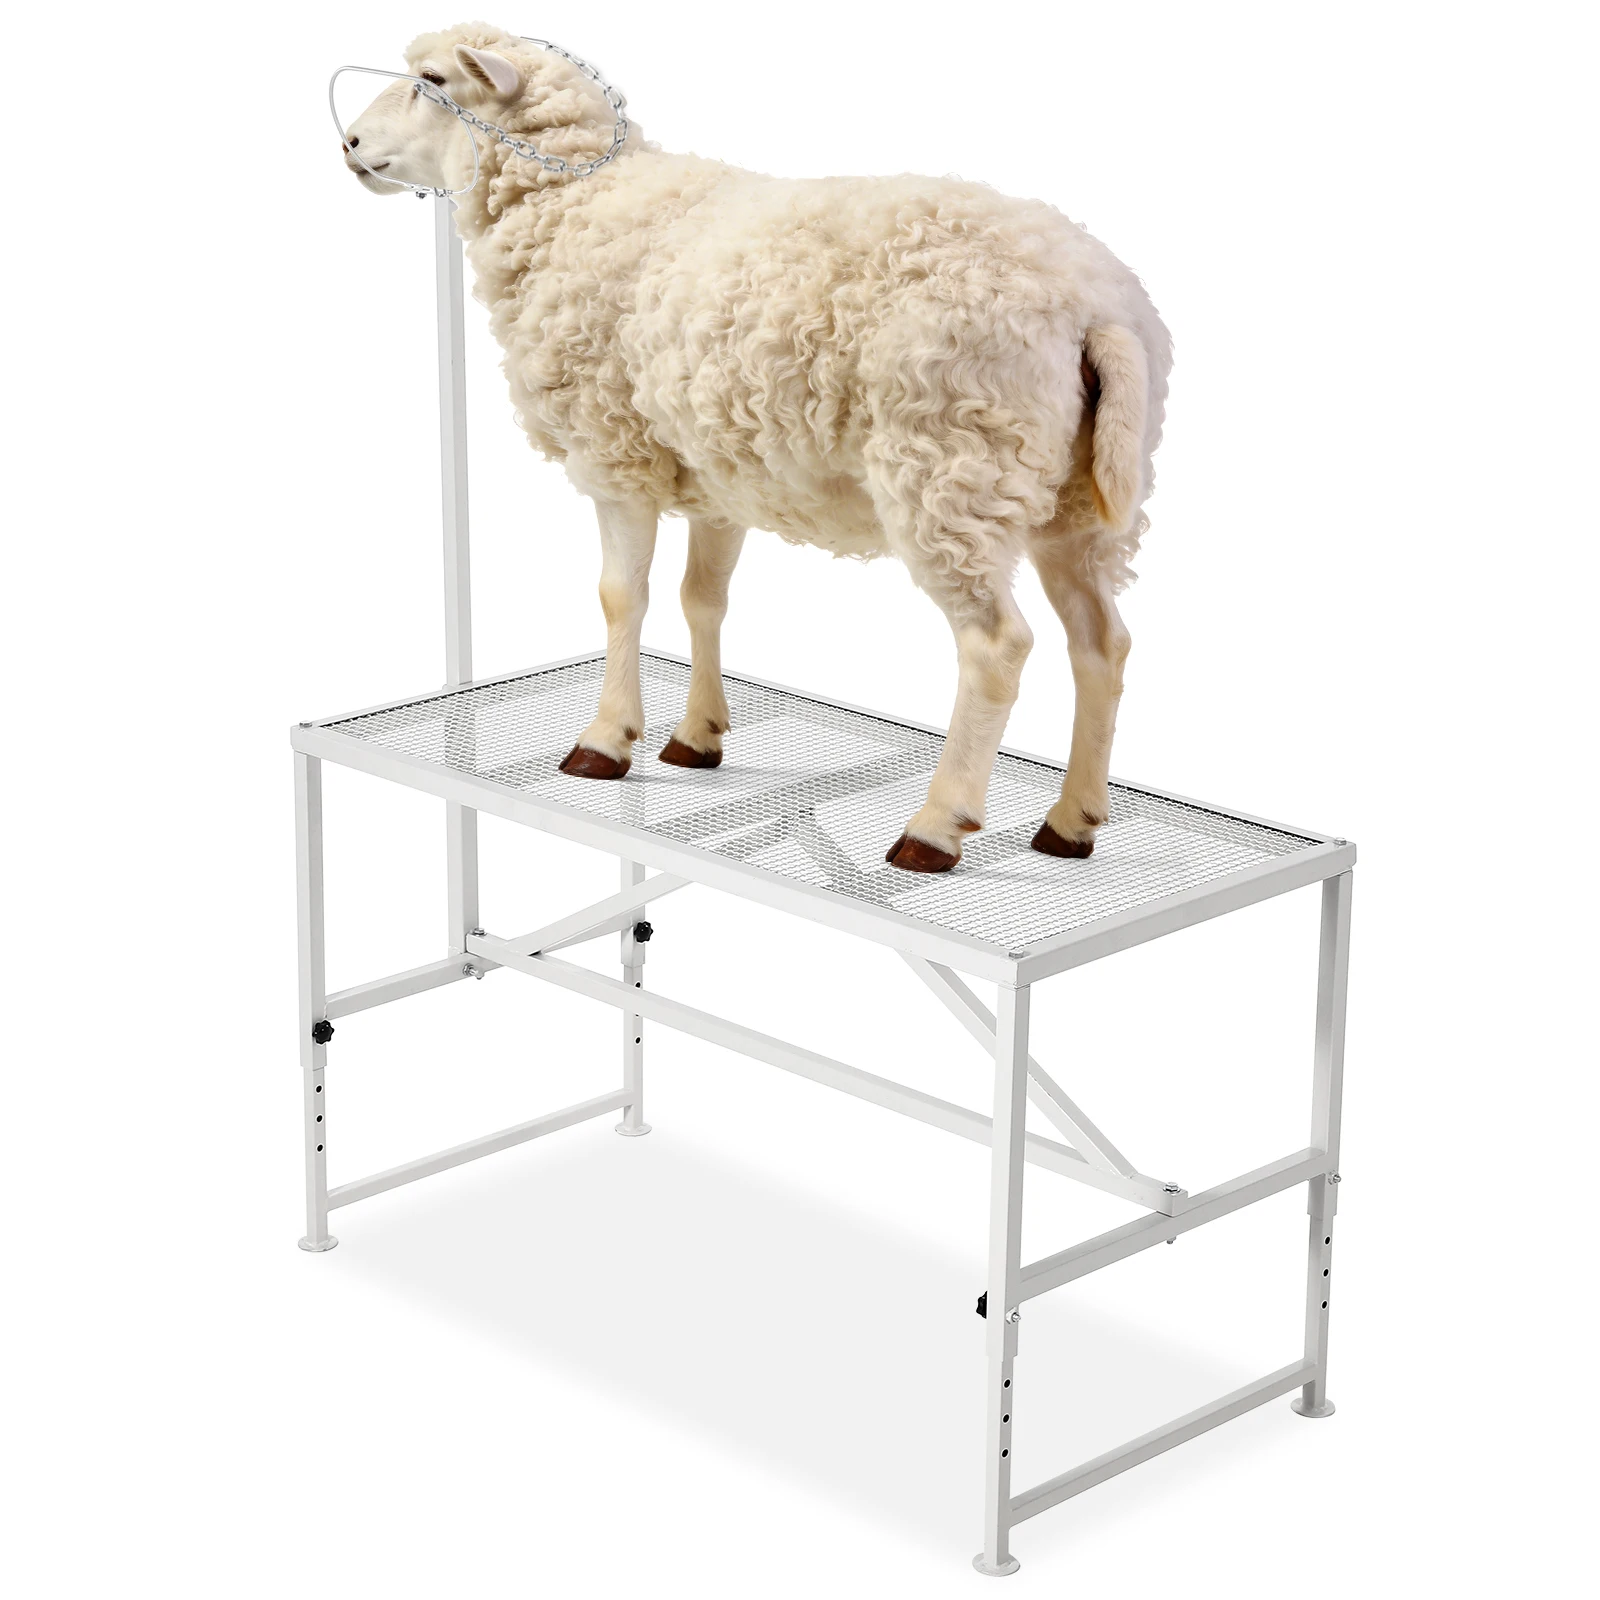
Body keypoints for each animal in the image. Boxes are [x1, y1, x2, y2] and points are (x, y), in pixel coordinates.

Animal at [342, 22, 1172, 871]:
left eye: (432, 80)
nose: (348, 143)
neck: (576, 206)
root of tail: (1094, 306)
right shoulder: (719, 474)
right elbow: (702, 599)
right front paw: (697, 737)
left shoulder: (615, 454)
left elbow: (621, 596)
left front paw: (606, 742)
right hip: (1079, 497)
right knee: (1102, 645)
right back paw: (1071, 823)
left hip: (950, 469)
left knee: (997, 647)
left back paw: (936, 826)